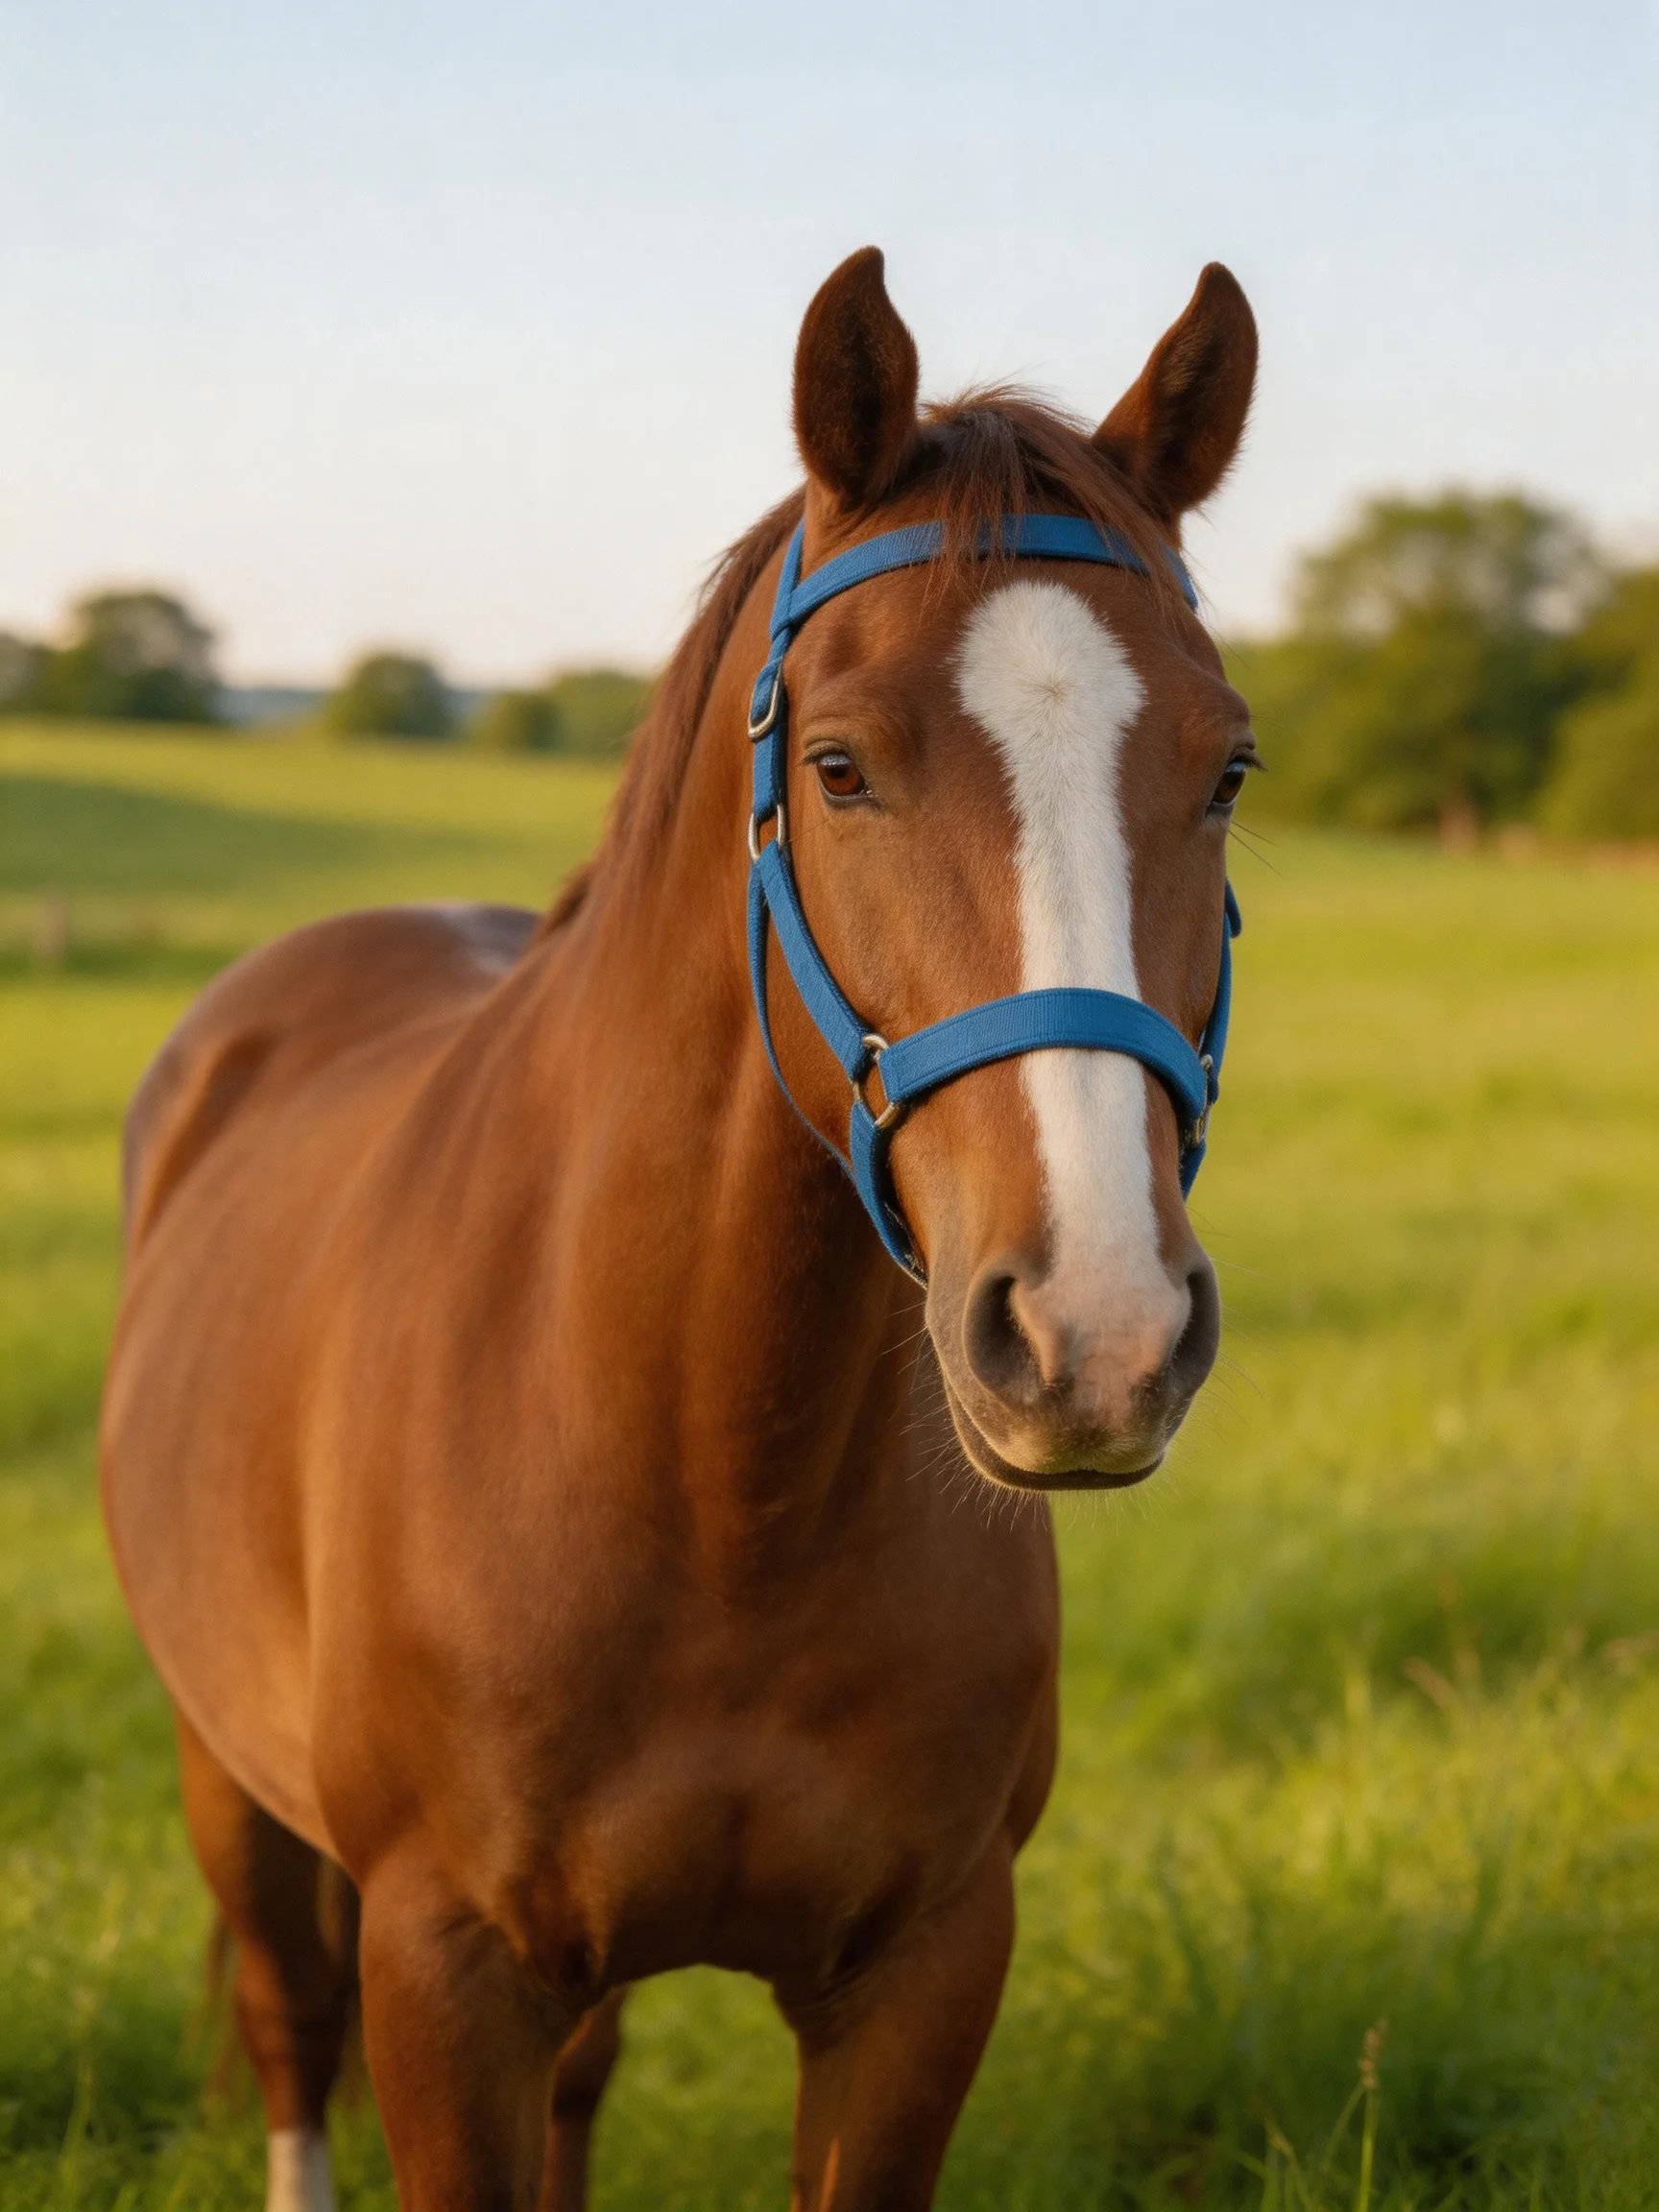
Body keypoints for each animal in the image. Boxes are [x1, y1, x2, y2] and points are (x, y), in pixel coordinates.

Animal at [101, 245, 1258, 2211]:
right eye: (844, 765)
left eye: (1227, 769)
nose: (1095, 1335)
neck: (711, 1472)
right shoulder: (442, 1979)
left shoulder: (922, 1971)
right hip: (221, 1778)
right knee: (282, 2024)